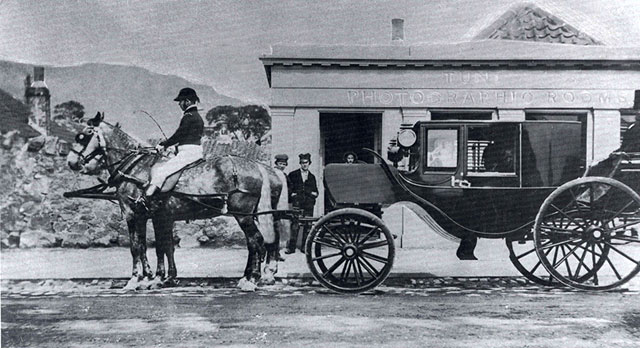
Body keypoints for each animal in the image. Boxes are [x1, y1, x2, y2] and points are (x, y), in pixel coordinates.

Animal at [66, 112, 286, 290]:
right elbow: (160, 246)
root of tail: (258, 167)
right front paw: (158, 278)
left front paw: (136, 279)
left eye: (84, 135)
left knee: (256, 240)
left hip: (244, 215)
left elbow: (138, 247)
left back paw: (252, 279)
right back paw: (253, 276)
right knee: (260, 242)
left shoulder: (132, 214)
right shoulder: (156, 216)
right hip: (254, 214)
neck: (135, 168)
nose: (71, 162)